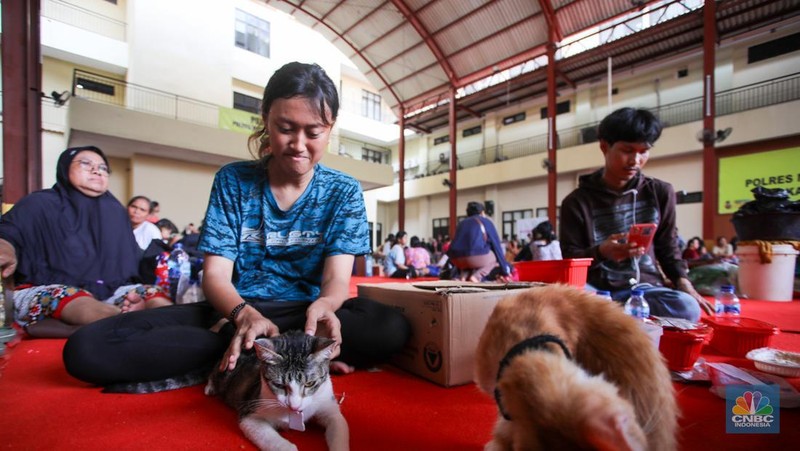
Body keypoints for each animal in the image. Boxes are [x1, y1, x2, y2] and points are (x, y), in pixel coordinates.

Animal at [205, 328, 348, 451]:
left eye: (310, 383)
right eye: (279, 385)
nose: (294, 406)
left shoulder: (328, 406)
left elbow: (338, 425)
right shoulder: (251, 412)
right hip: (227, 365)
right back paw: (210, 387)